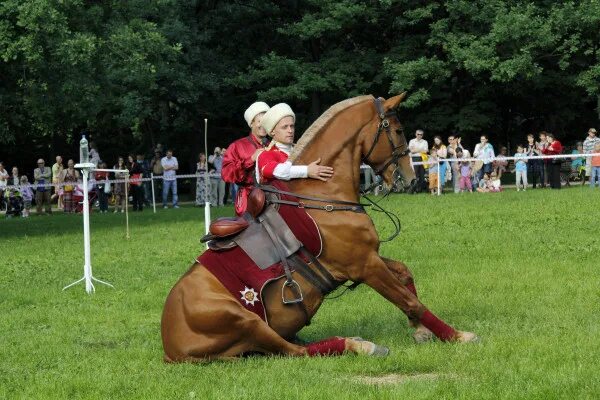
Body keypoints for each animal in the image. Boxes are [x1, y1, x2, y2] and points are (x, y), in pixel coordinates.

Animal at [161, 94, 478, 362]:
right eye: (399, 131)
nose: (411, 179)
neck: (324, 197)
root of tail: (169, 345)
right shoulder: (366, 267)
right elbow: (410, 301)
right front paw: (456, 335)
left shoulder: (368, 258)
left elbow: (405, 274)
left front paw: (421, 329)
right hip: (246, 321)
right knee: (295, 351)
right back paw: (361, 345)